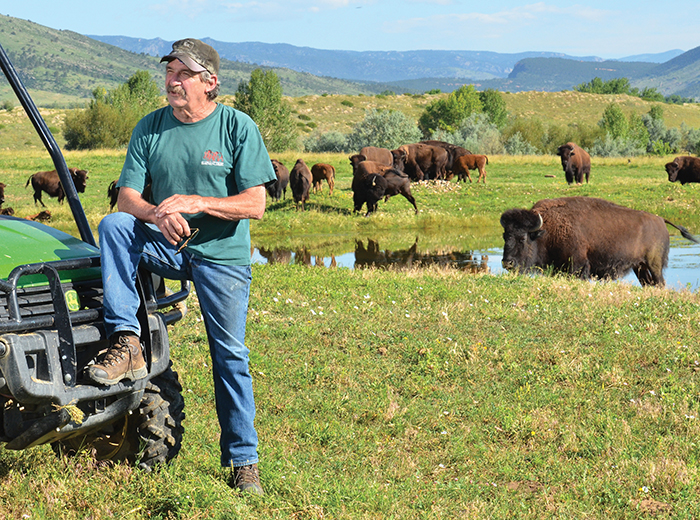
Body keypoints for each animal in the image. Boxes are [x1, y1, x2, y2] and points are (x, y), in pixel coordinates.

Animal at [500, 196, 699, 287]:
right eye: (504, 236)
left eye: (522, 237)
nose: (507, 263)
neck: (547, 230)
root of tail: (660, 219)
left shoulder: (578, 265)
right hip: (639, 266)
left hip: (654, 264)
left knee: (659, 282)